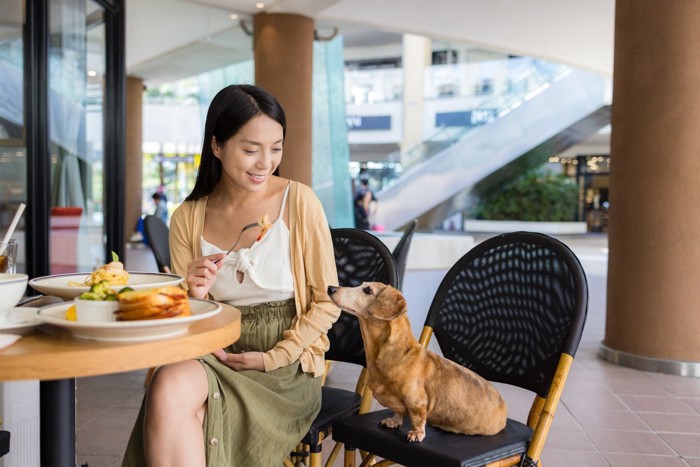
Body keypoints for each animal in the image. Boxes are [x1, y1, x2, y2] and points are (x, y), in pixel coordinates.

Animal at [326, 282, 506, 442]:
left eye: (367, 290)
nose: (331, 288)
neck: (395, 353)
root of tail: (504, 408)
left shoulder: (417, 401)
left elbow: (418, 418)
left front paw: (416, 433)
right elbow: (398, 412)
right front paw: (393, 421)